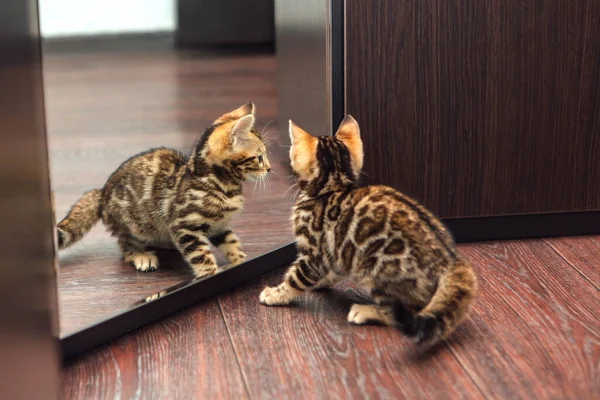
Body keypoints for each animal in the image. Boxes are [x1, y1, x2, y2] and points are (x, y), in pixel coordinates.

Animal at [56, 103, 272, 278]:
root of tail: (102, 192)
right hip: (134, 225)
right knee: (125, 244)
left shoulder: (220, 225)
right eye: (259, 157)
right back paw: (141, 256)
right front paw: (211, 275)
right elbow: (201, 257)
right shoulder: (185, 225)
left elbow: (232, 244)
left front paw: (240, 261)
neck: (218, 183)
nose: (269, 169)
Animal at [262, 116, 478, 346]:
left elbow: (295, 278)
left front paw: (276, 294)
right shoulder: (337, 251)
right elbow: (333, 270)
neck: (333, 186)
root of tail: (451, 261)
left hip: (374, 269)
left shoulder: (313, 253)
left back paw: (365, 311)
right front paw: (321, 281)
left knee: (402, 311)